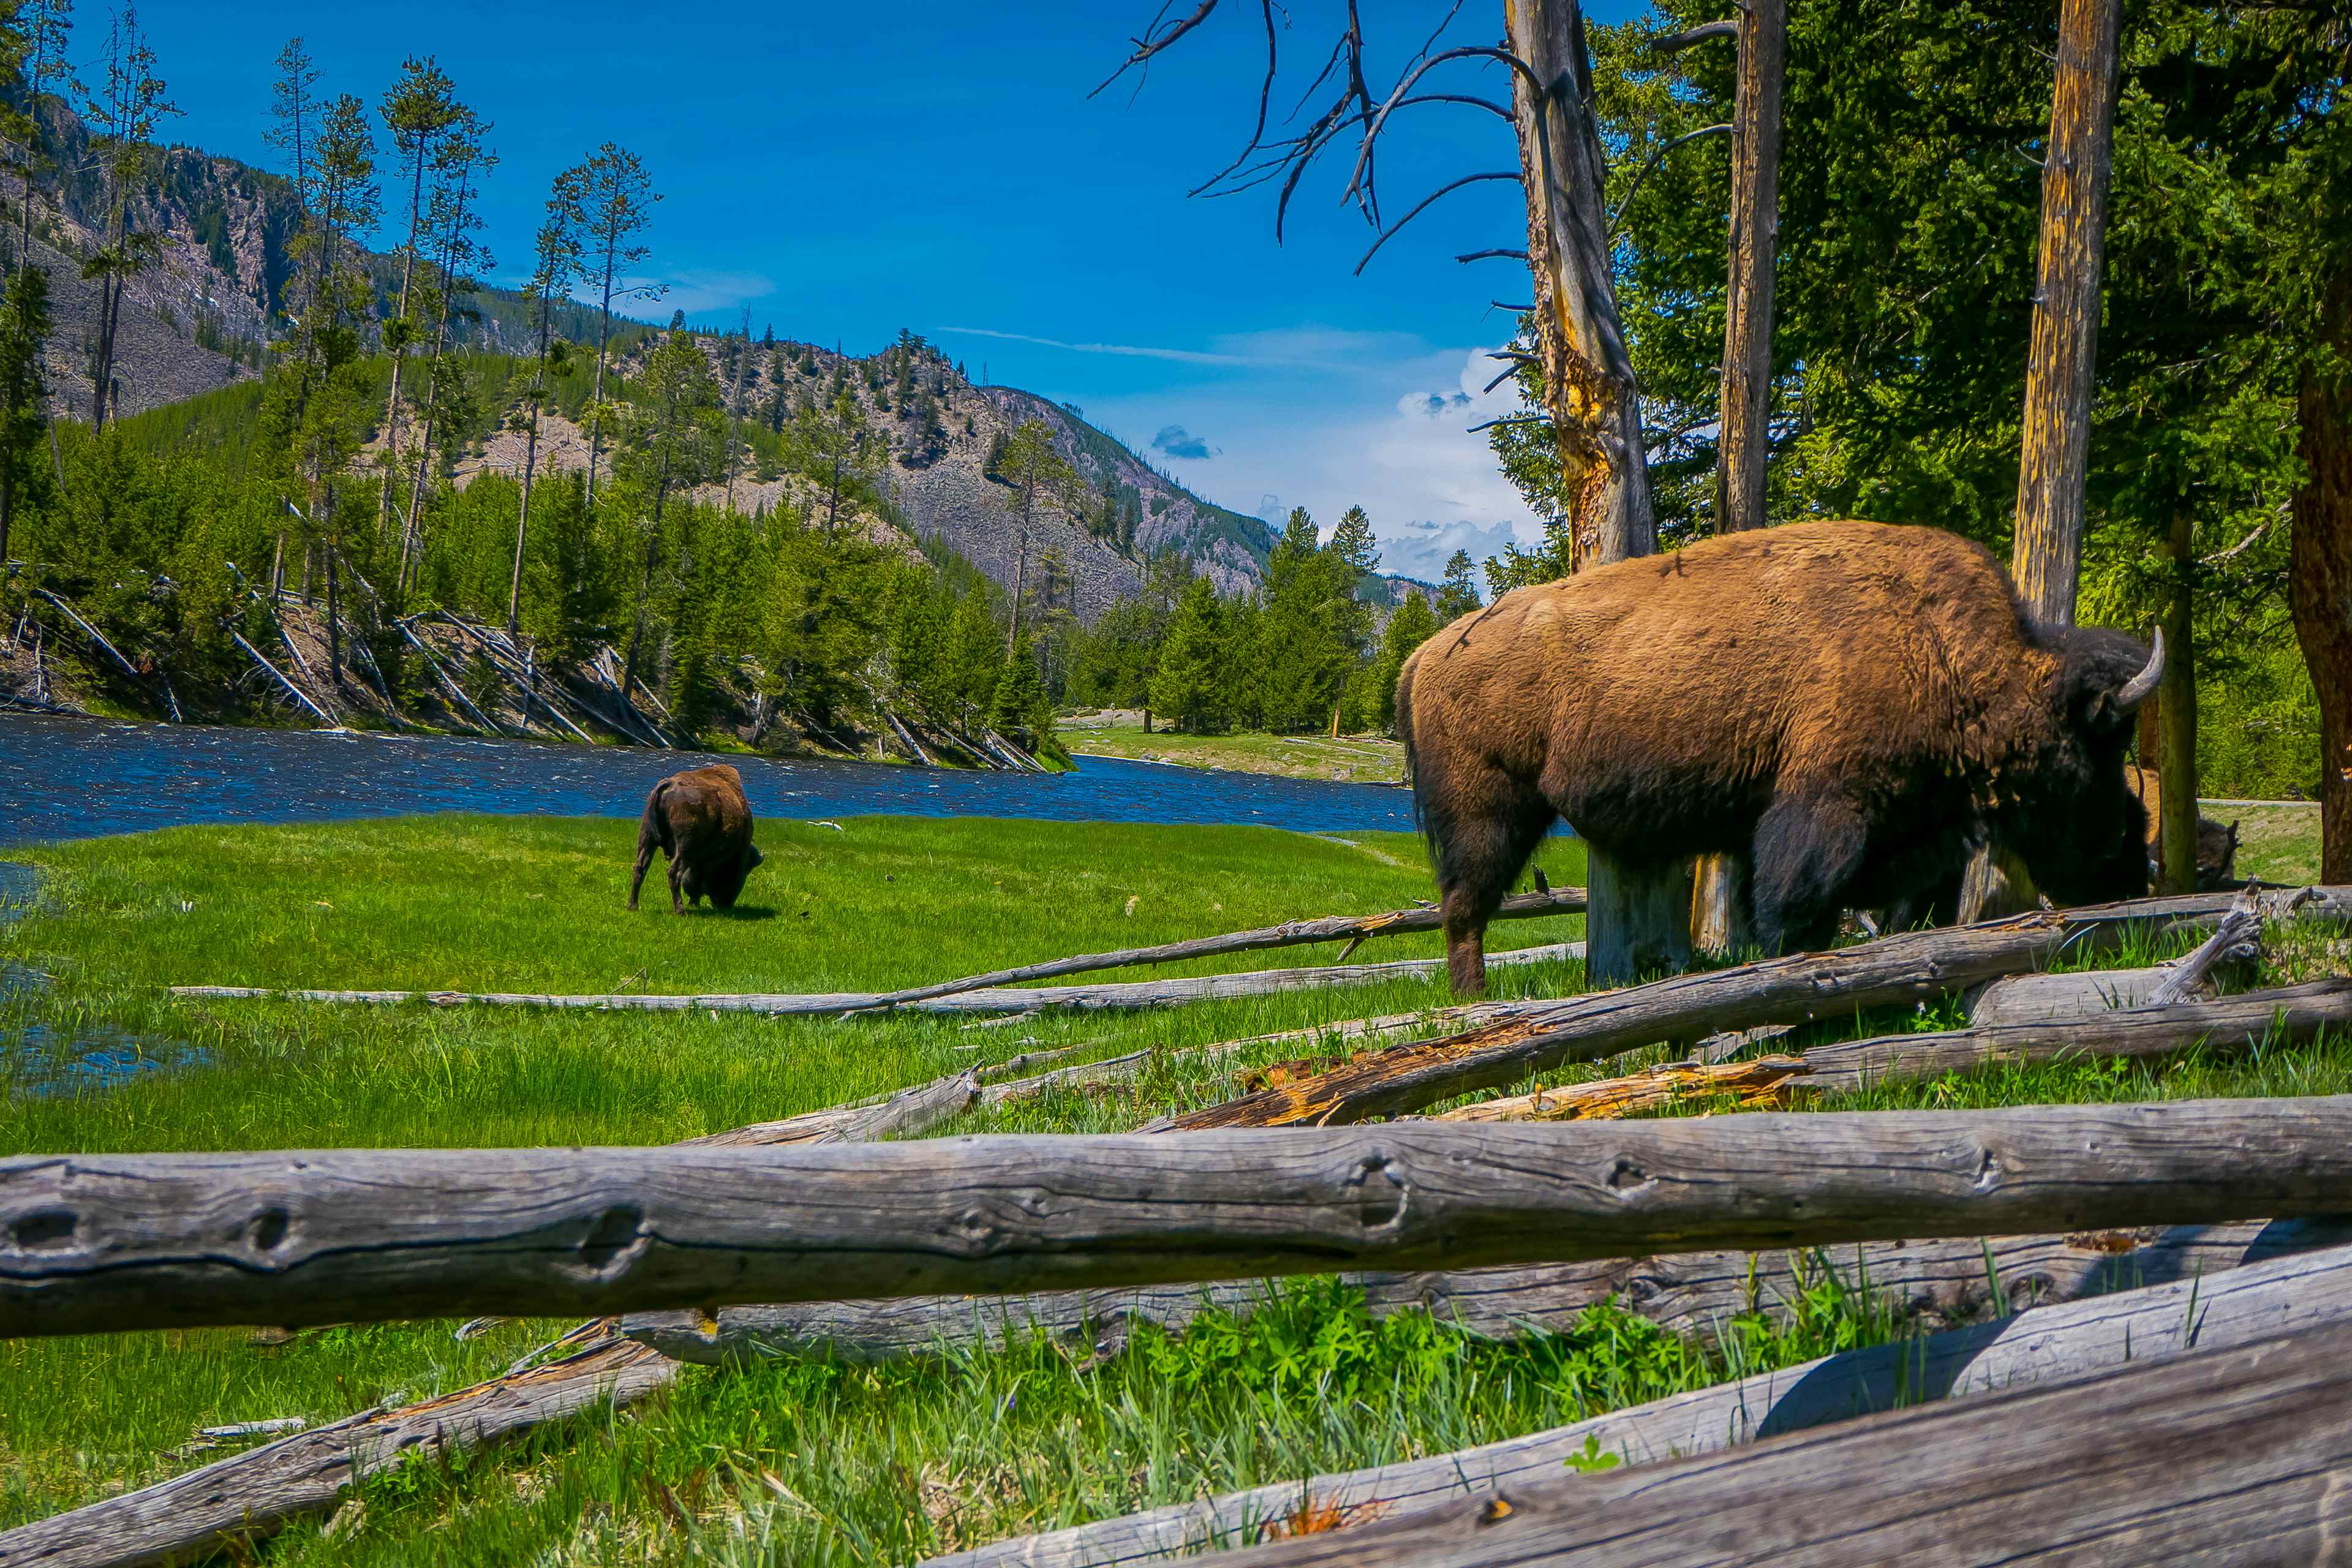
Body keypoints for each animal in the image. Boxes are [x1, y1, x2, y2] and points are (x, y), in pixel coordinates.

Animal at [630, 766, 766, 912]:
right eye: (742, 872)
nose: (725, 905)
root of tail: (670, 784)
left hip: (647, 837)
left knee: (640, 868)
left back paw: (633, 906)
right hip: (684, 846)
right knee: (674, 873)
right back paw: (680, 910)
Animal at [1392, 524, 2163, 992]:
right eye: (2100, 744)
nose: (2130, 863)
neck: (1951, 656)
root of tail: (1427, 652)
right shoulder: (1824, 809)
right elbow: (1796, 906)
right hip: (1487, 811)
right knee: (1465, 905)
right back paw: (1474, 1000)